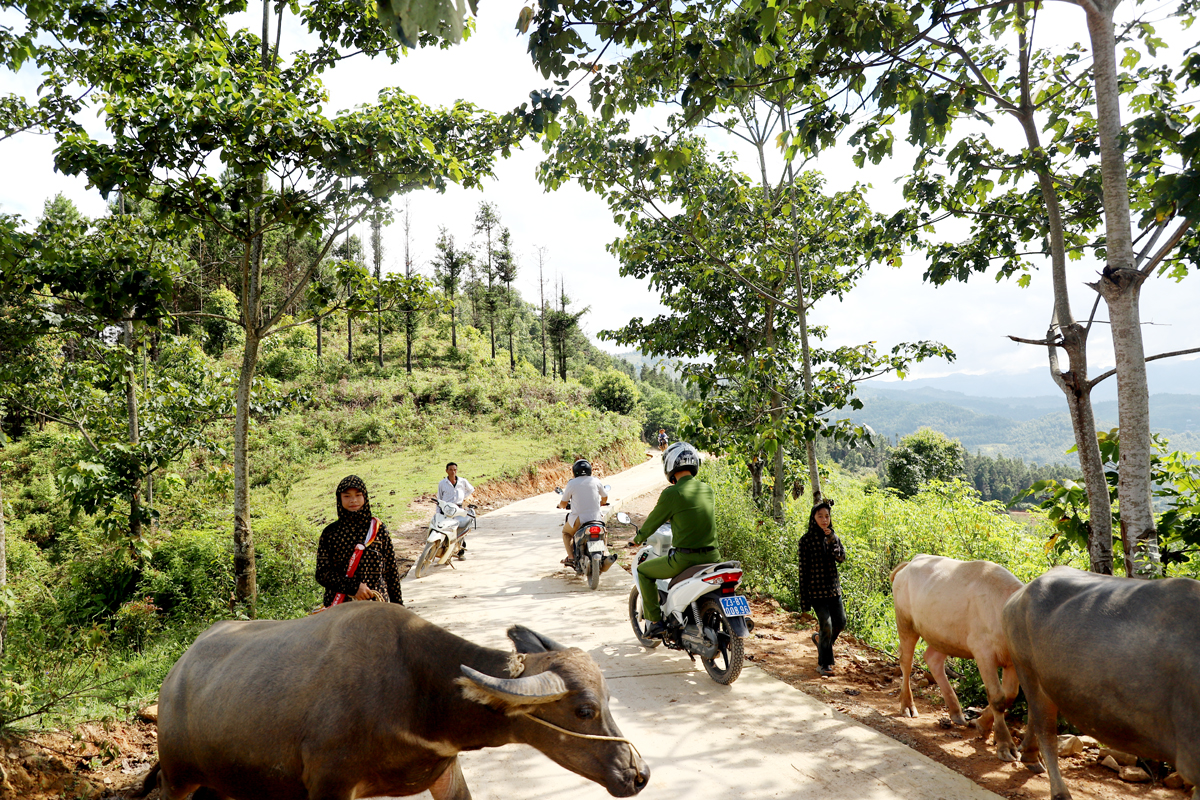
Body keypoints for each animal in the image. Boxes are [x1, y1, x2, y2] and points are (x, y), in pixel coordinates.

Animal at [136, 604, 652, 800]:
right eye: (584, 710)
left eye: (609, 700)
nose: (639, 773)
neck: (419, 695)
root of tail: (174, 677)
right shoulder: (329, 786)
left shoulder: (446, 772)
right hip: (179, 781)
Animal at [888, 554, 1027, 762]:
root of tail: (912, 561)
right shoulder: (983, 652)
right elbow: (997, 698)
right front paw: (1005, 744)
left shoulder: (1012, 662)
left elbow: (1009, 695)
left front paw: (982, 724)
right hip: (905, 622)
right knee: (906, 661)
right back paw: (907, 706)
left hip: (944, 636)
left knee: (933, 659)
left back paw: (956, 712)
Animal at [1003, 566, 1200, 796]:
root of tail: (1019, 594)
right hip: (1026, 668)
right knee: (1046, 732)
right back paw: (1060, 792)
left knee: (1035, 714)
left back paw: (1029, 756)